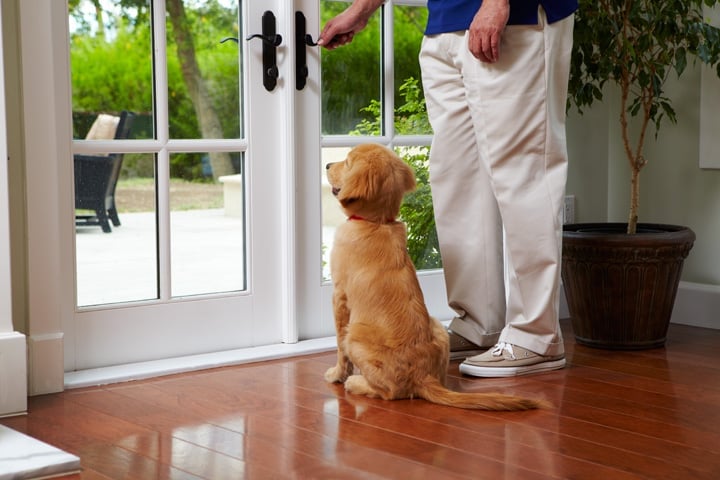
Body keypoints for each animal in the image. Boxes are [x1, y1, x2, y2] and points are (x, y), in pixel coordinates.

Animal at [324, 142, 544, 408]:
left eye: (346, 162)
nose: (326, 165)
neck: (377, 222)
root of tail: (422, 378)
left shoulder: (339, 296)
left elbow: (339, 346)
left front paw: (336, 374)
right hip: (437, 325)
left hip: (355, 335)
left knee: (389, 391)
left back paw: (355, 383)